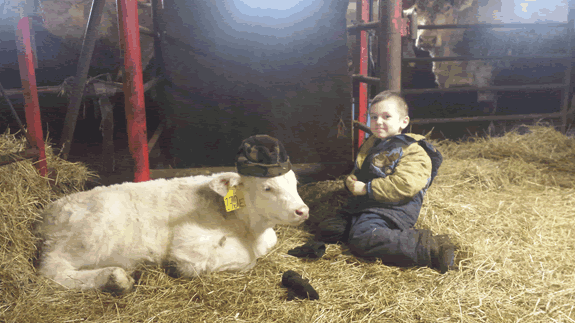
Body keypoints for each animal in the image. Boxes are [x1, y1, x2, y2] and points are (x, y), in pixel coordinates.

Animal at [37, 171, 308, 294]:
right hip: (89, 237)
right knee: (51, 270)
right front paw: (180, 267)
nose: (302, 210)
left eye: (294, 183)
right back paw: (116, 278)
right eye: (267, 188)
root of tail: (49, 211)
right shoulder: (189, 241)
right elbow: (245, 258)